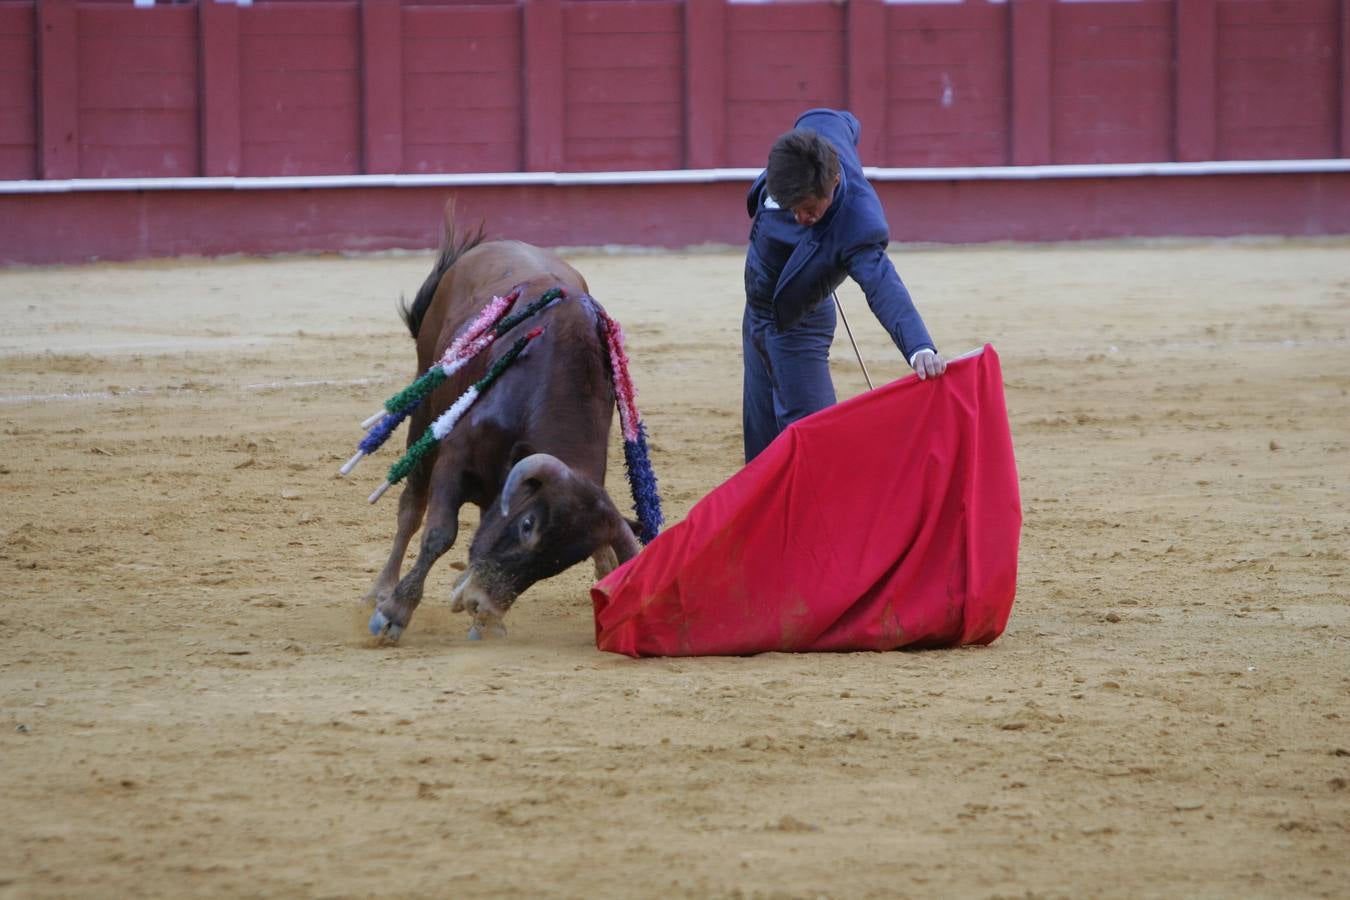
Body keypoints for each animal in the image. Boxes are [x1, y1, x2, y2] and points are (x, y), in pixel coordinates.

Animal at [361, 217, 645, 639]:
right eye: (527, 525)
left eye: (565, 560)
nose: (483, 604)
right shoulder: (455, 458)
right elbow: (439, 533)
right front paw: (396, 610)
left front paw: (486, 620)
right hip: (425, 406)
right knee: (411, 506)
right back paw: (382, 589)